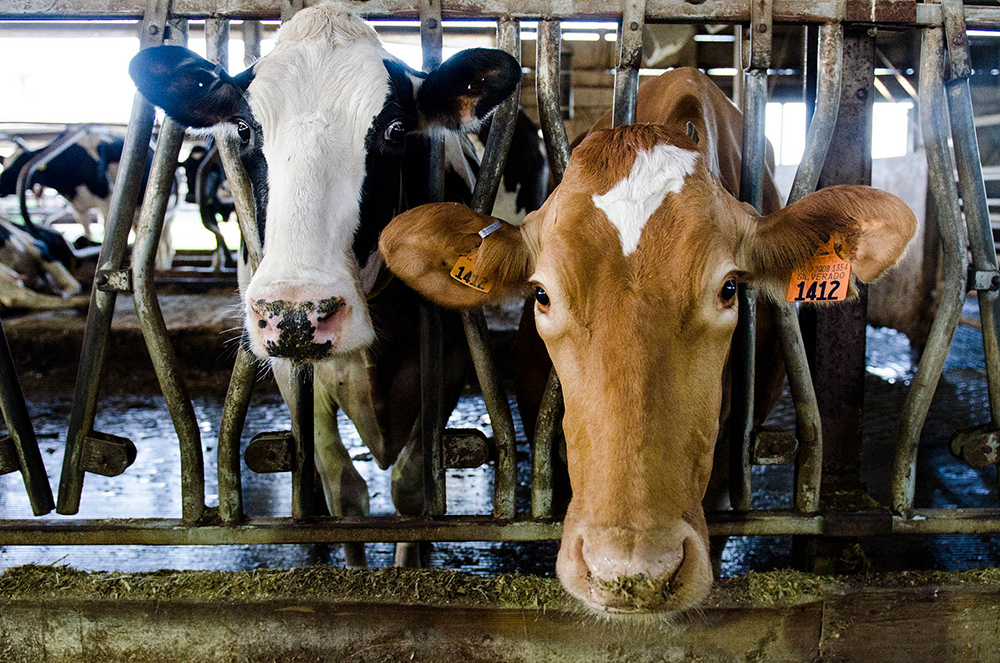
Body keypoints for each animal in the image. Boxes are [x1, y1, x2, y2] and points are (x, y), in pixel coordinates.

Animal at [0, 133, 176, 270]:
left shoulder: (107, 202)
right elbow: (87, 231)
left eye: (18, 166)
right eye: (5, 165)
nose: (0, 186)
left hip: (166, 212)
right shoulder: (77, 207)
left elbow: (106, 231)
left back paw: (163, 264)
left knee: (165, 241)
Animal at [128, 2, 521, 566]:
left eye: (395, 130)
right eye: (244, 130)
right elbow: (344, 491)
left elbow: (413, 492)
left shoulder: (451, 361)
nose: (297, 312)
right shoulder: (291, 369)